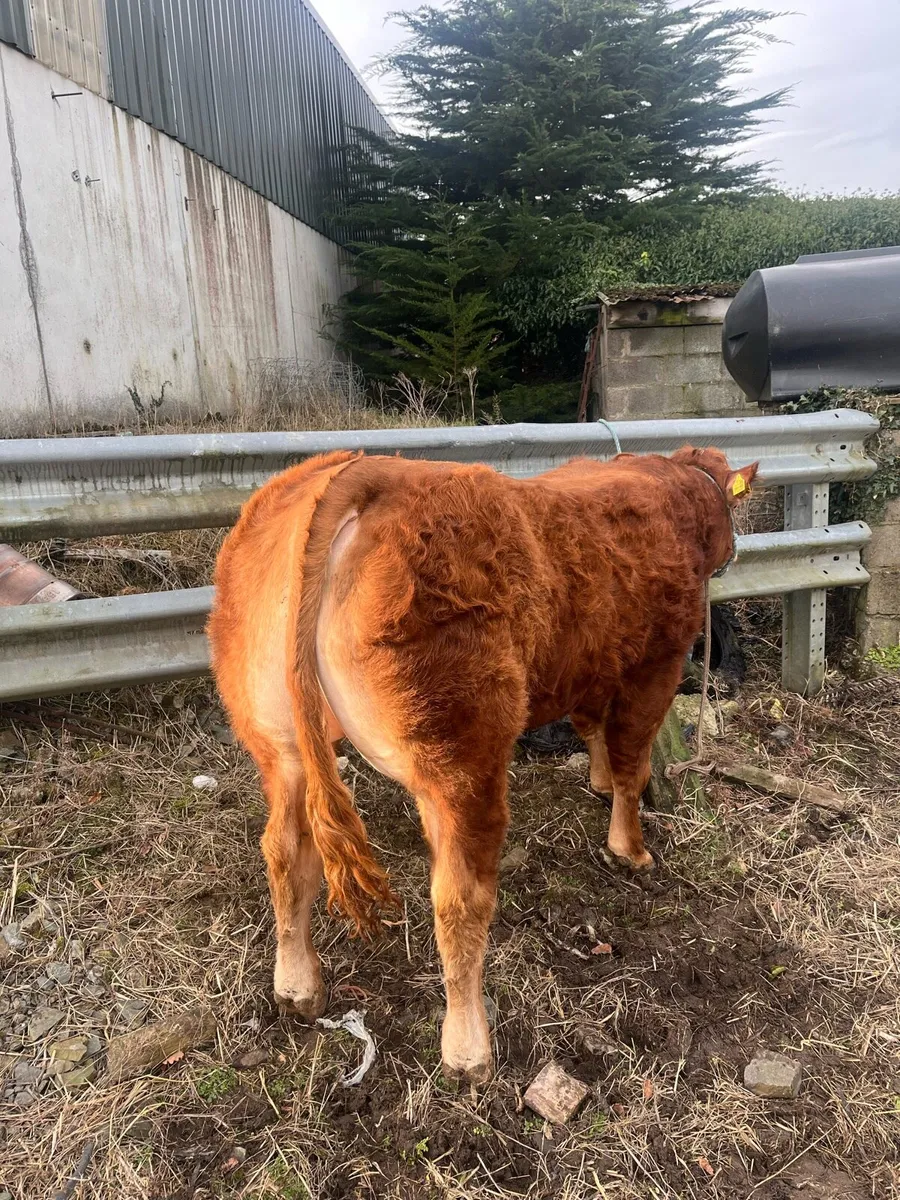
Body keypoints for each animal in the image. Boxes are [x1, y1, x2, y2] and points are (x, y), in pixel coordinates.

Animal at [208, 446, 757, 1084]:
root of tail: (365, 470)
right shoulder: (655, 665)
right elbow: (630, 762)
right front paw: (631, 848)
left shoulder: (591, 663)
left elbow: (591, 727)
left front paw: (595, 780)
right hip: (461, 755)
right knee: (458, 899)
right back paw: (469, 1050)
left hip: (279, 742)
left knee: (285, 850)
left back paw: (297, 987)